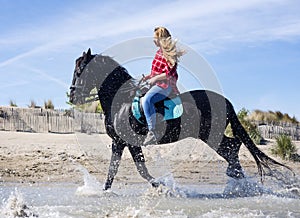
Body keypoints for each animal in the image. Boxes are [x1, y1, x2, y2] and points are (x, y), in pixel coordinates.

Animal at [69, 48, 292, 190]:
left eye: (79, 71)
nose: (72, 96)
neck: (121, 101)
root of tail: (225, 100)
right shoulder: (121, 142)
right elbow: (115, 171)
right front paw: (104, 192)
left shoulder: (126, 142)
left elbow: (139, 170)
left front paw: (162, 186)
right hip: (210, 136)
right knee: (232, 148)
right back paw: (238, 179)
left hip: (210, 136)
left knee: (232, 147)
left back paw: (238, 179)